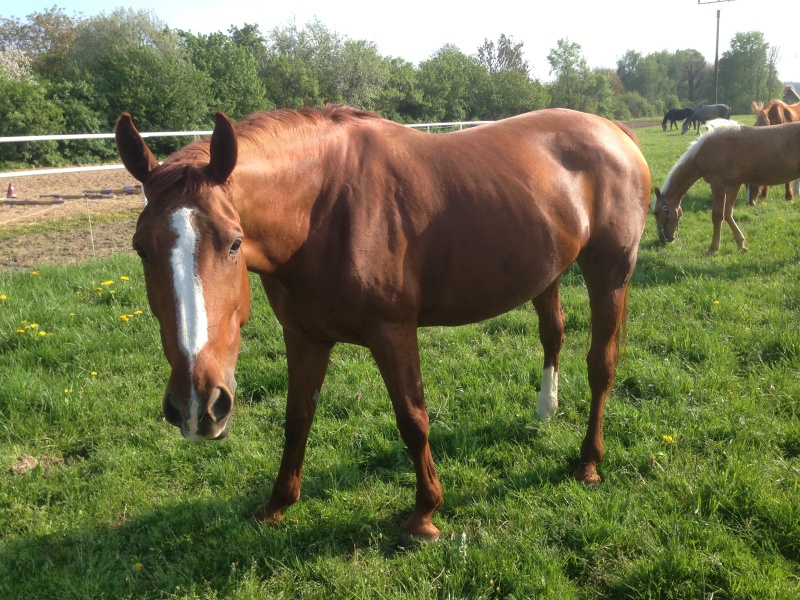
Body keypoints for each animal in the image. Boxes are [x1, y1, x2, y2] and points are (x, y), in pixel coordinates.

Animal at [115, 105, 651, 542]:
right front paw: (277, 504)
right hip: (548, 271)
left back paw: (588, 462)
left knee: (601, 366)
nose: (197, 405)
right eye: (141, 248)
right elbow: (297, 417)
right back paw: (546, 409)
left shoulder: (393, 333)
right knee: (553, 333)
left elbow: (412, 419)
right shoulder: (305, 337)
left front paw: (424, 515)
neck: (323, 209)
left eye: (233, 242)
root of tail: (615, 132)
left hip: (610, 275)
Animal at [654, 118, 800, 254]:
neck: (707, 149)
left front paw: (713, 248)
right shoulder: (734, 185)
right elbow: (728, 212)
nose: (663, 239)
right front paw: (741, 243)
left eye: (656, 213)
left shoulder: (718, 185)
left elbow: (717, 215)